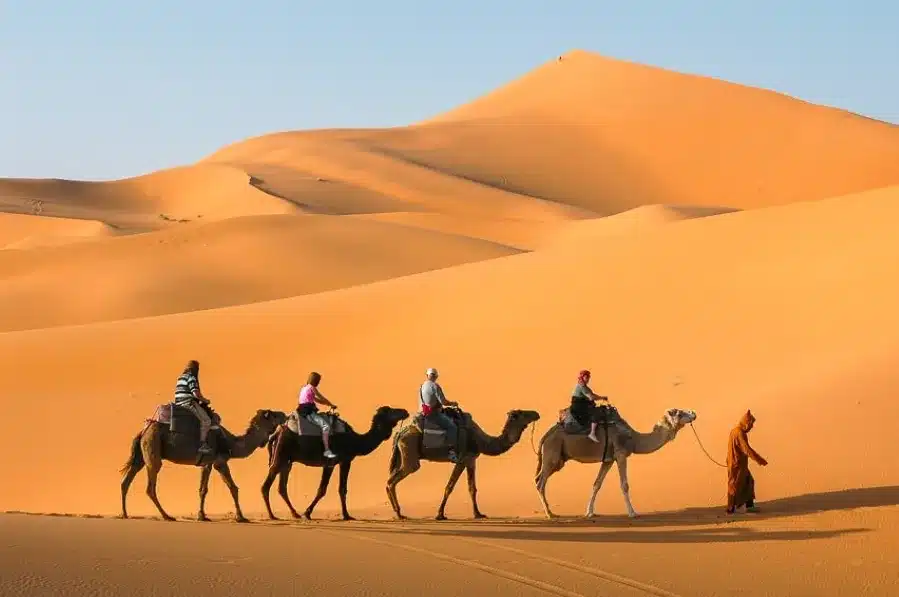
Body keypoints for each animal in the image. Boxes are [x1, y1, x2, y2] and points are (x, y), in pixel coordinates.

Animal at [119, 400, 286, 520]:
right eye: (272, 414)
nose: (284, 414)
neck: (229, 443)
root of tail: (143, 431)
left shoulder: (212, 463)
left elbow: (221, 488)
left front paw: (207, 515)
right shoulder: (215, 461)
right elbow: (216, 489)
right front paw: (237, 517)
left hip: (142, 454)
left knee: (126, 481)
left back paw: (124, 514)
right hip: (153, 445)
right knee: (150, 485)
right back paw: (167, 516)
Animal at [262, 402, 410, 520]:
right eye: (390, 411)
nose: (405, 411)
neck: (355, 441)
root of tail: (276, 433)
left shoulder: (340, 462)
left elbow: (339, 489)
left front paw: (345, 515)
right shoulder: (336, 462)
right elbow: (325, 489)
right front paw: (308, 513)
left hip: (288, 461)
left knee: (282, 487)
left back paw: (294, 514)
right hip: (281, 455)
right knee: (266, 485)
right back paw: (272, 515)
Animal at [386, 408, 540, 520]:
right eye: (522, 413)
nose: (536, 413)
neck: (480, 441)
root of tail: (399, 433)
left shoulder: (471, 460)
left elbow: (472, 488)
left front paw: (478, 514)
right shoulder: (461, 459)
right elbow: (449, 486)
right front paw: (440, 515)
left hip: (401, 454)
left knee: (390, 480)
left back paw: (398, 513)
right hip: (410, 451)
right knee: (393, 481)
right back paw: (399, 514)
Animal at [536, 406, 696, 516]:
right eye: (679, 413)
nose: (693, 413)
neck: (634, 439)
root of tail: (545, 435)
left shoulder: (608, 460)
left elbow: (597, 484)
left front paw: (589, 512)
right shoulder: (621, 455)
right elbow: (624, 485)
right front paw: (632, 513)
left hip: (558, 459)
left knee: (539, 479)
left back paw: (550, 511)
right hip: (553, 453)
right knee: (540, 482)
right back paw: (549, 514)